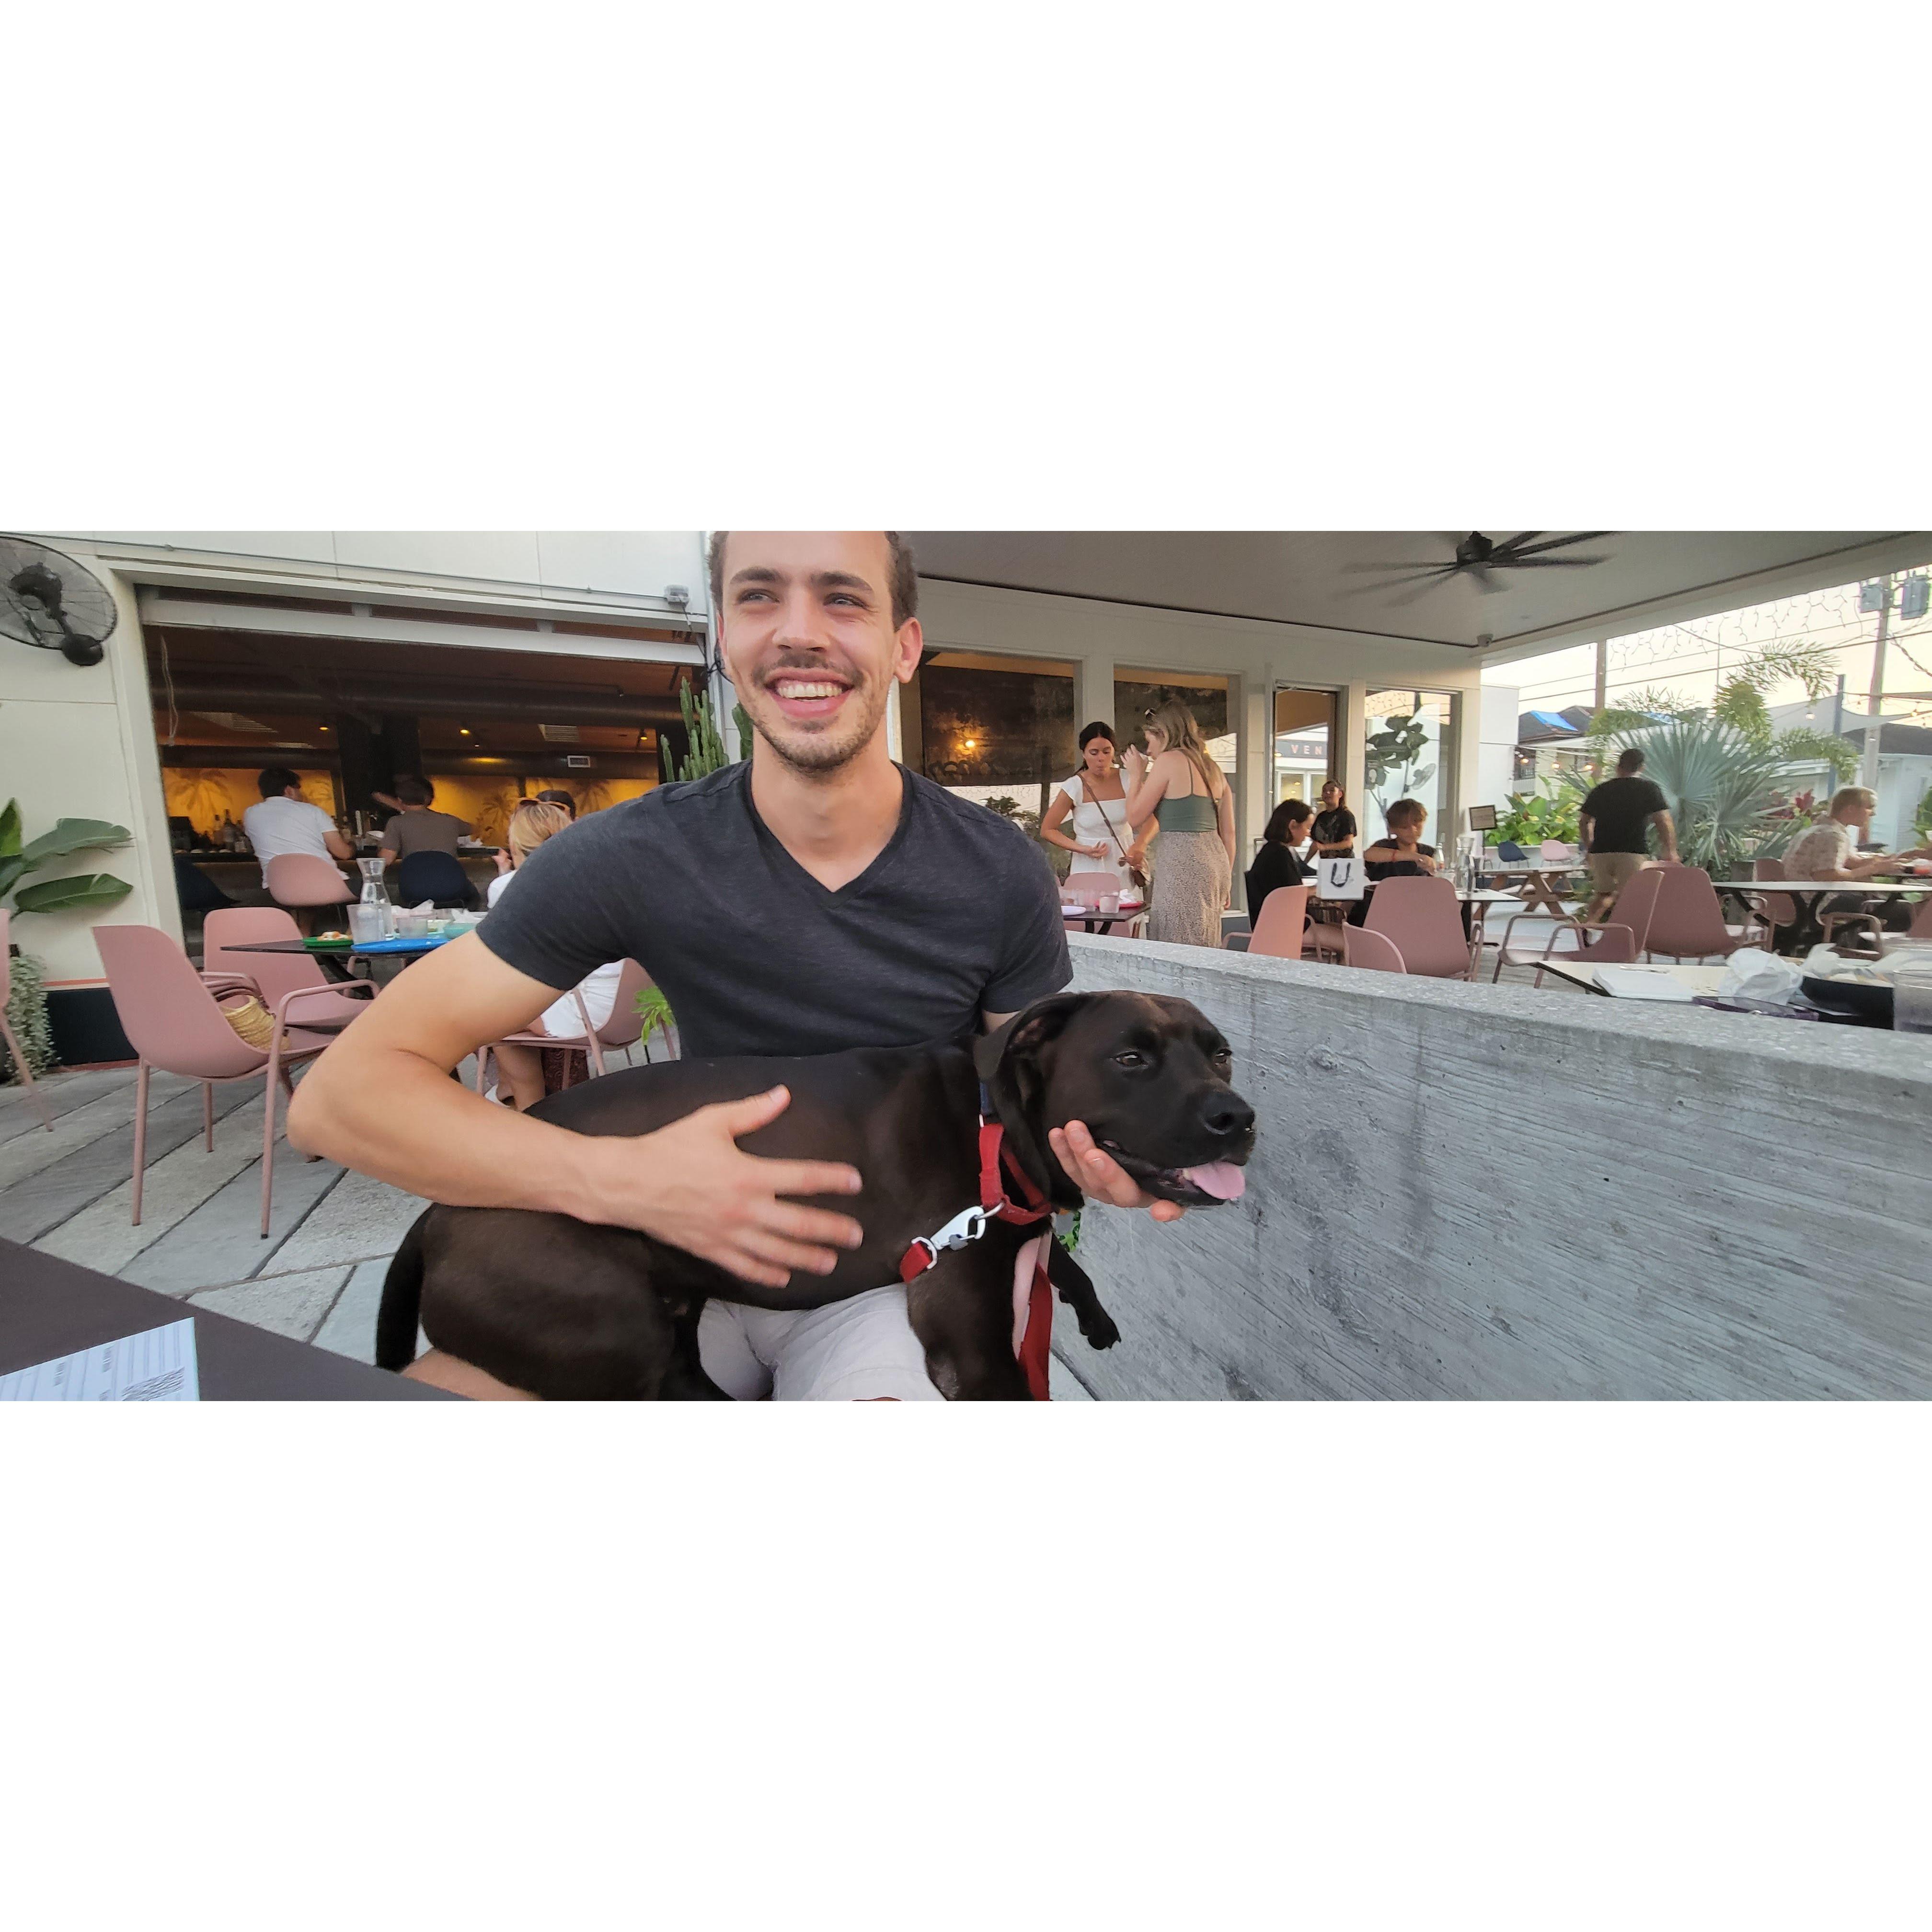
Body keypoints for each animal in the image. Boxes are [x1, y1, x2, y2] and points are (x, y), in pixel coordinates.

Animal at [375, 990, 1256, 1400]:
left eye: (1222, 1053)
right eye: (1131, 1059)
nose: (1237, 1117)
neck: (995, 1126)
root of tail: (434, 1216)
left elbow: (1060, 1261)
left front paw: (1090, 1304)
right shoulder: (970, 1337)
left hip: (668, 1304)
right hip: (605, 1328)